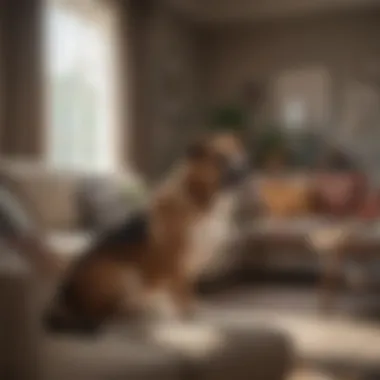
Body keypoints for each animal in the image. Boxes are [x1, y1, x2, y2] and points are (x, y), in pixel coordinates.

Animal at [44, 133, 249, 332]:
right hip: (125, 275)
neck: (198, 199)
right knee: (107, 313)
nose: (246, 169)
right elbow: (183, 296)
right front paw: (189, 319)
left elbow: (190, 293)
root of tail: (65, 297)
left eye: (239, 154)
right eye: (220, 158)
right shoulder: (175, 265)